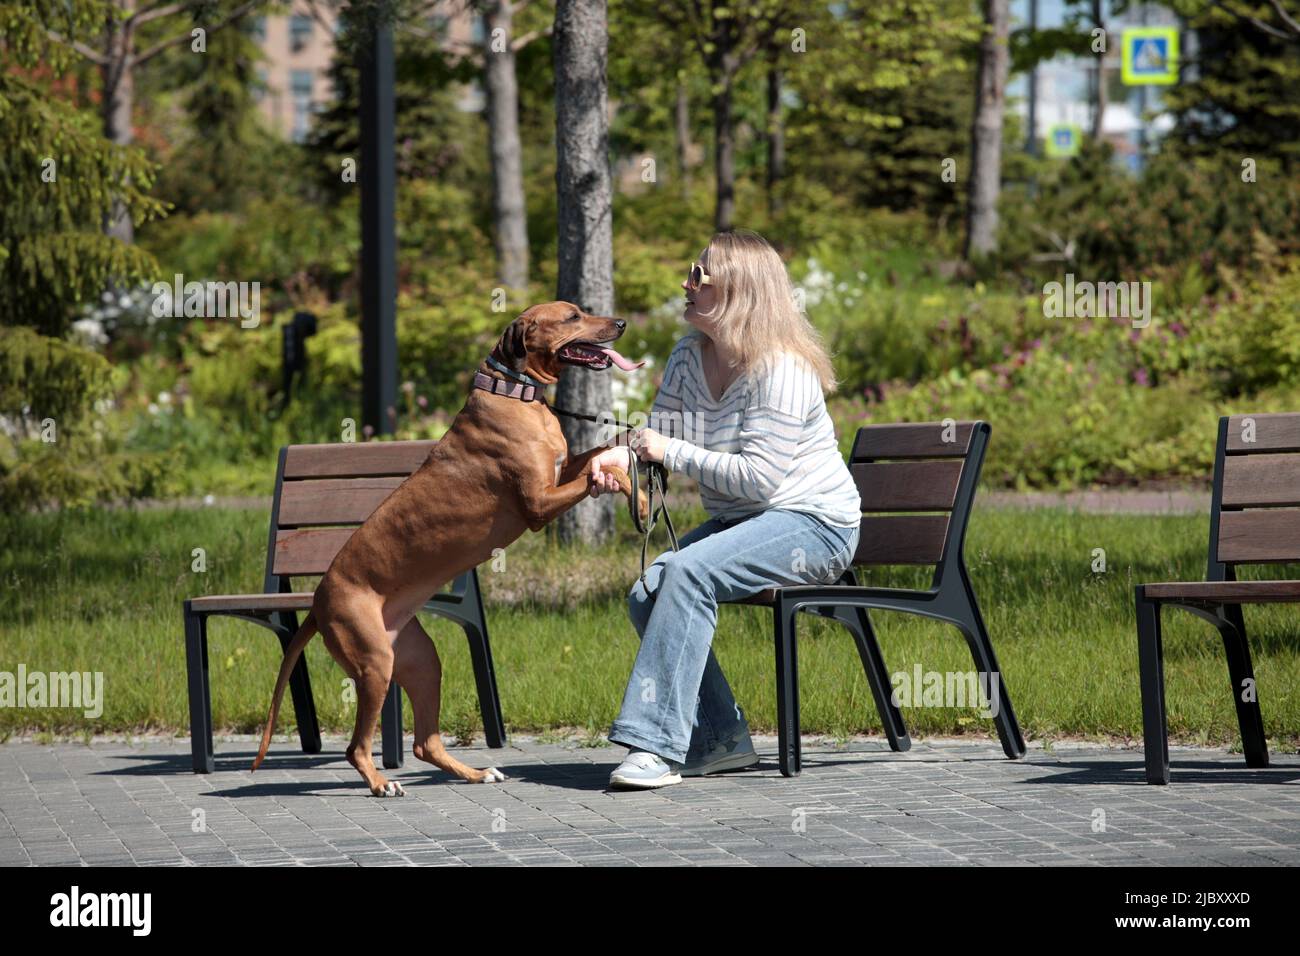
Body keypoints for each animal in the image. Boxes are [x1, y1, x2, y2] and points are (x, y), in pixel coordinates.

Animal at [248, 303, 644, 796]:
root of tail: (318, 603)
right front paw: (632, 491)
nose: (623, 323)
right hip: (374, 663)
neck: (518, 393)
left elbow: (602, 452)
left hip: (420, 660)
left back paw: (476, 772)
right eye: (572, 316)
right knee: (357, 746)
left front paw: (639, 461)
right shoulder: (538, 504)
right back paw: (381, 782)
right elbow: (596, 474)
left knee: (425, 742)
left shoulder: (562, 468)